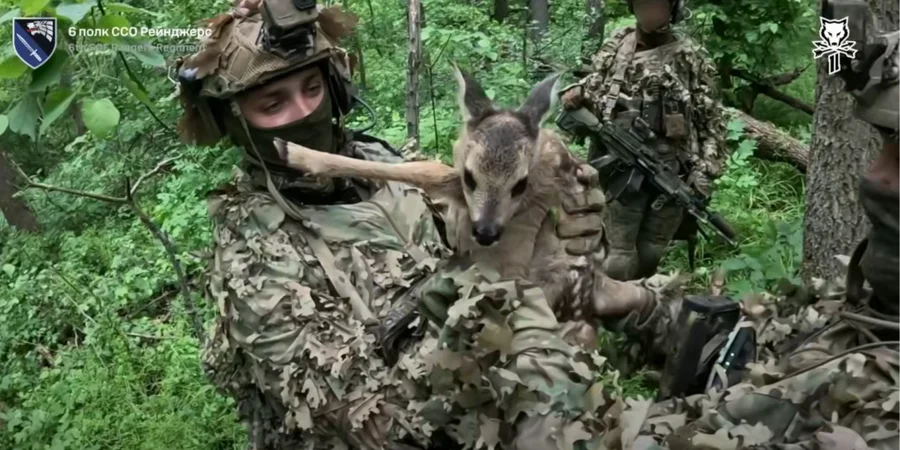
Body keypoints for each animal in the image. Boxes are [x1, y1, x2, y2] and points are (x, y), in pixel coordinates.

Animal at [273, 65, 602, 348]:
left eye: (519, 184)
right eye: (470, 176)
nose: (485, 233)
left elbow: (424, 169)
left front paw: (294, 151)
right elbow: (426, 170)